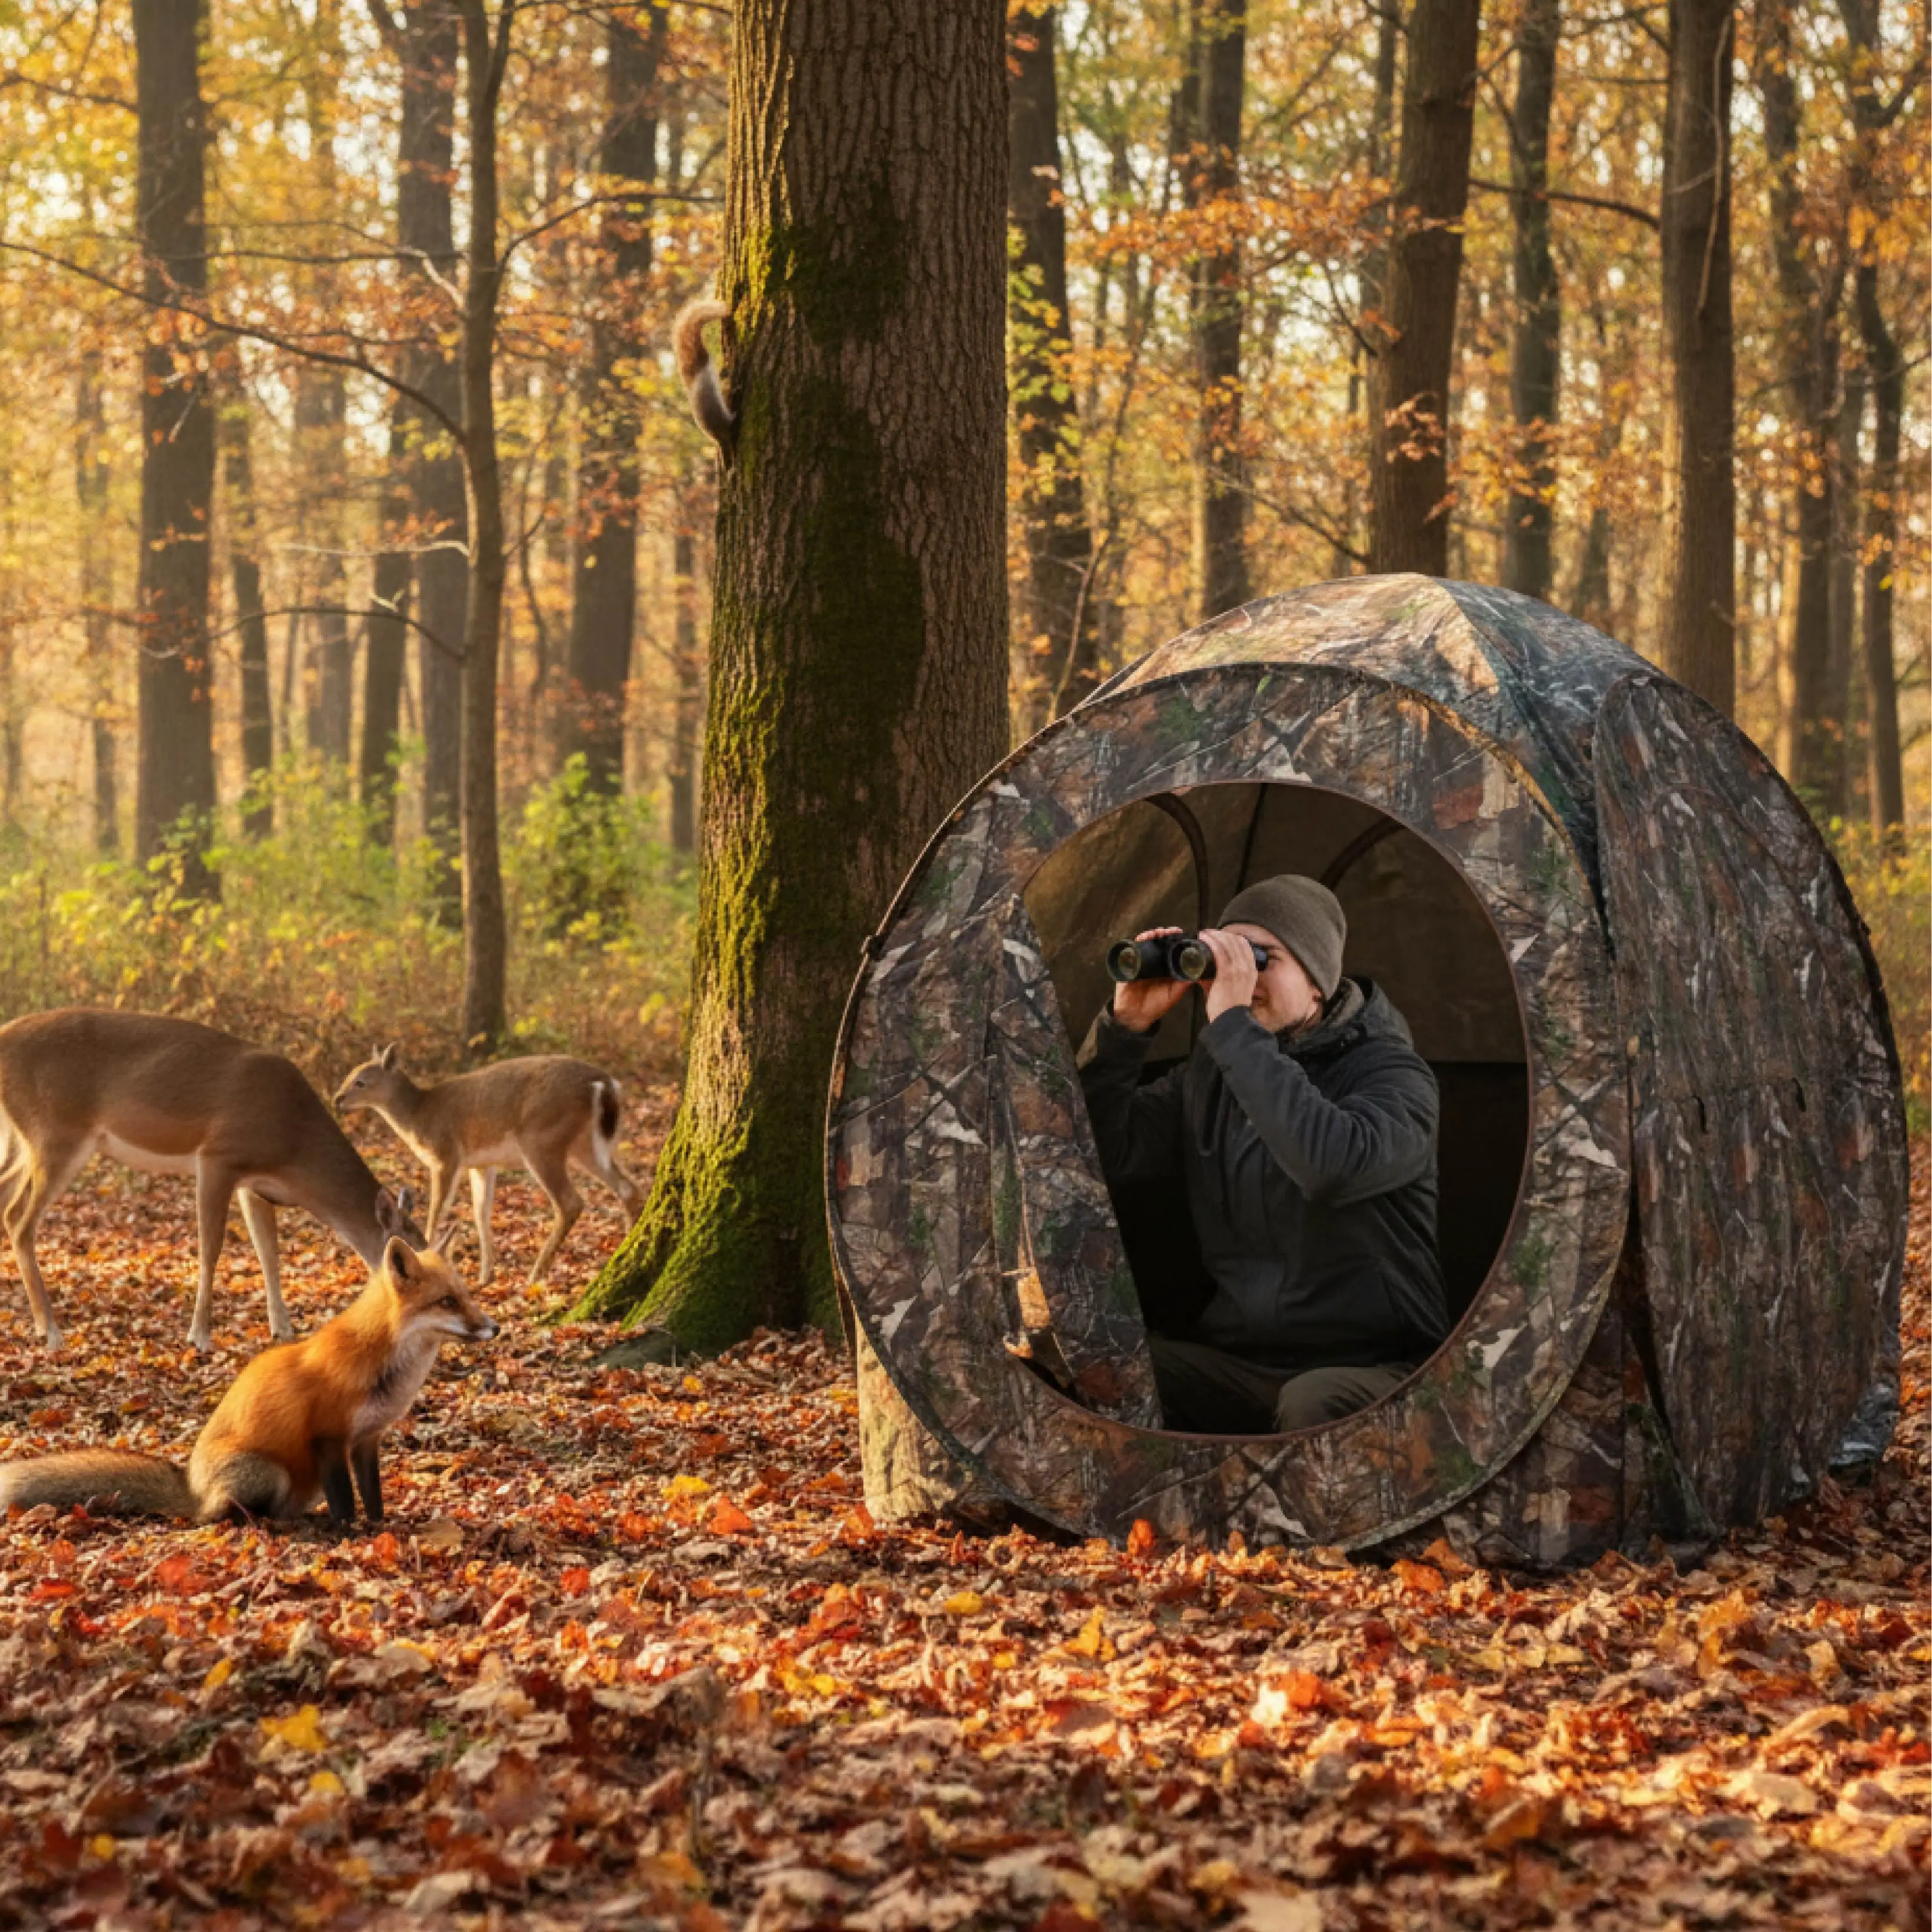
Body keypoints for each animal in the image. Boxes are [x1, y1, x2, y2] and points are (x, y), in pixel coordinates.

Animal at [0, 1009, 425, 1355]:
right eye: (409, 1253)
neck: (294, 1145)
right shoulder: (218, 1157)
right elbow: (211, 1247)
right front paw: (200, 1336)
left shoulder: (255, 1183)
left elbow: (268, 1251)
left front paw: (284, 1330)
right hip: (56, 1132)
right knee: (21, 1219)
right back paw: (50, 1331)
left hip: (21, 1139)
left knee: (6, 1200)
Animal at [333, 1046, 642, 1287]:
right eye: (349, 1074)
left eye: (361, 1081)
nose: (337, 1099)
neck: (419, 1116)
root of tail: (604, 1083)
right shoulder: (481, 1164)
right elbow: (481, 1213)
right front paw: (485, 1277)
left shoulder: (446, 1155)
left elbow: (437, 1211)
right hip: (584, 1144)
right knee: (627, 1187)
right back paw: (625, 1250)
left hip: (541, 1138)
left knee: (570, 1202)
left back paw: (536, 1275)